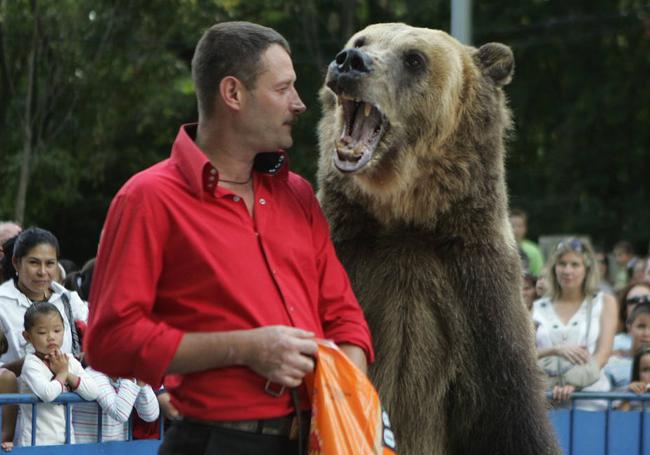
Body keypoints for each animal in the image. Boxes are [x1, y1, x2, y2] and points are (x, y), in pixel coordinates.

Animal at [316, 24, 560, 455]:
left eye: (414, 58)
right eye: (362, 40)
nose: (349, 62)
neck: (406, 224)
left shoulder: (479, 301)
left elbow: (513, 419)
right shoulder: (350, 259)